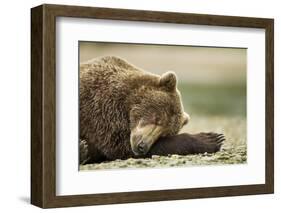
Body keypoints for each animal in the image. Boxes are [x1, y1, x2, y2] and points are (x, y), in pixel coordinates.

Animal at [79, 55, 223, 164]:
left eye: (164, 133)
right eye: (156, 118)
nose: (142, 146)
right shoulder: (101, 109)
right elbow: (118, 145)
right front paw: (211, 139)